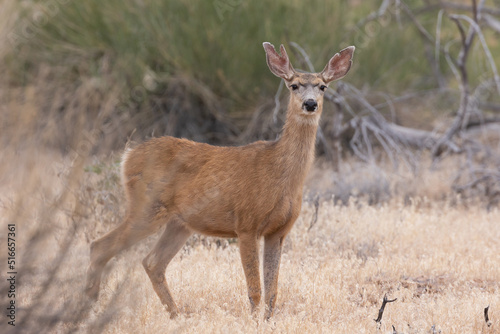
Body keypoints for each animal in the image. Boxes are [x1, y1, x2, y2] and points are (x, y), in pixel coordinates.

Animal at [87, 41, 356, 318]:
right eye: (294, 85)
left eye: (322, 86)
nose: (310, 104)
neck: (281, 176)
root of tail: (127, 156)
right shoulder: (246, 223)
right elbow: (255, 290)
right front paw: (254, 321)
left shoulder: (279, 231)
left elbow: (273, 291)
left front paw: (268, 321)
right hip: (147, 207)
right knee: (100, 246)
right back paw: (90, 306)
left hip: (179, 223)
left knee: (152, 262)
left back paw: (175, 315)